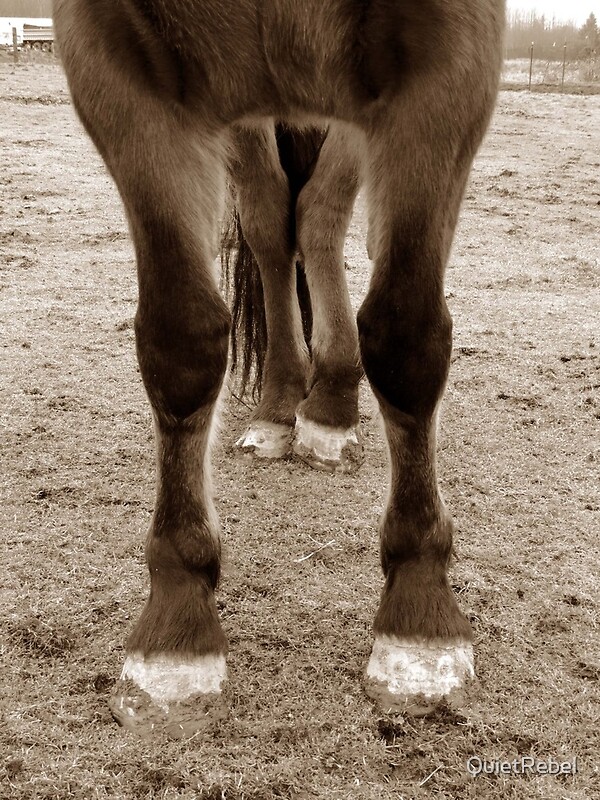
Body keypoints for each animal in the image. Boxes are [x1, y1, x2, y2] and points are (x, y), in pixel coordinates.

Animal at [53, 0, 505, 737]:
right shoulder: (115, 67)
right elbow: (180, 342)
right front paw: (177, 629)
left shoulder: (449, 62)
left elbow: (405, 337)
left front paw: (419, 615)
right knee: (273, 220)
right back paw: (282, 405)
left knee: (318, 214)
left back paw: (331, 406)